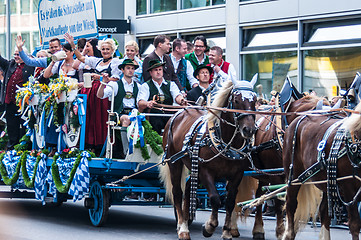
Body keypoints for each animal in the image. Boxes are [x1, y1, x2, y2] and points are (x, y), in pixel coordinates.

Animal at [159, 76, 258, 240]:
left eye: (255, 100)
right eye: (236, 100)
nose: (249, 130)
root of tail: (179, 112)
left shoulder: (237, 175)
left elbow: (230, 202)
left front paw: (226, 231)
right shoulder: (206, 171)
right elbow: (215, 198)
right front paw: (209, 227)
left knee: (188, 189)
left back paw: (186, 220)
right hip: (175, 163)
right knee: (177, 192)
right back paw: (182, 227)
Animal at [282, 104, 360, 239]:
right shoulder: (349, 189)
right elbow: (355, 224)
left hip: (328, 182)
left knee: (324, 212)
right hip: (293, 176)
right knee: (291, 204)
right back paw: (289, 234)